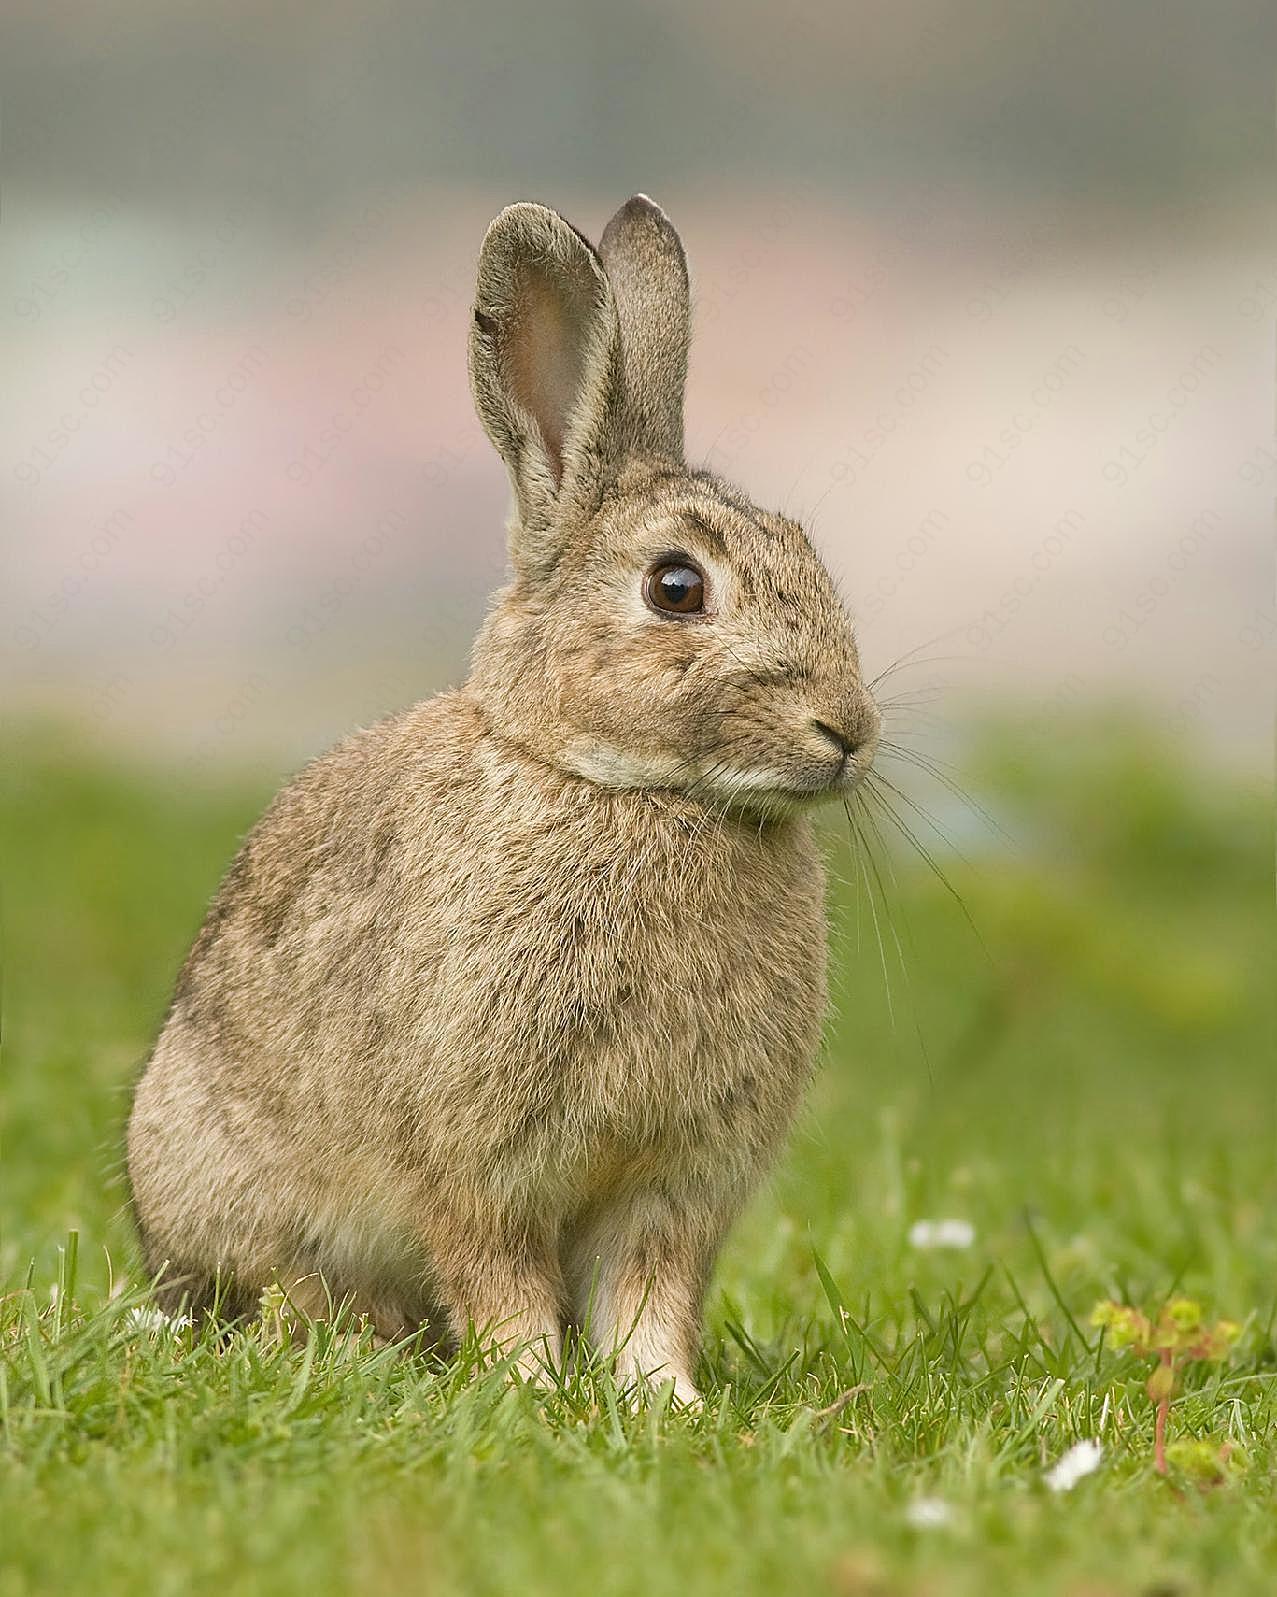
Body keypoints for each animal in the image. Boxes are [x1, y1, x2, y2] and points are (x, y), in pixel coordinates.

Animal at [126, 196, 881, 1398]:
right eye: (676, 587)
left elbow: (649, 1295)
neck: (629, 789)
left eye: (807, 551)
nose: (847, 731)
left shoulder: (674, 1185)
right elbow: (498, 1277)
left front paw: (662, 1401)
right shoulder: (477, 1162)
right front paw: (530, 1387)